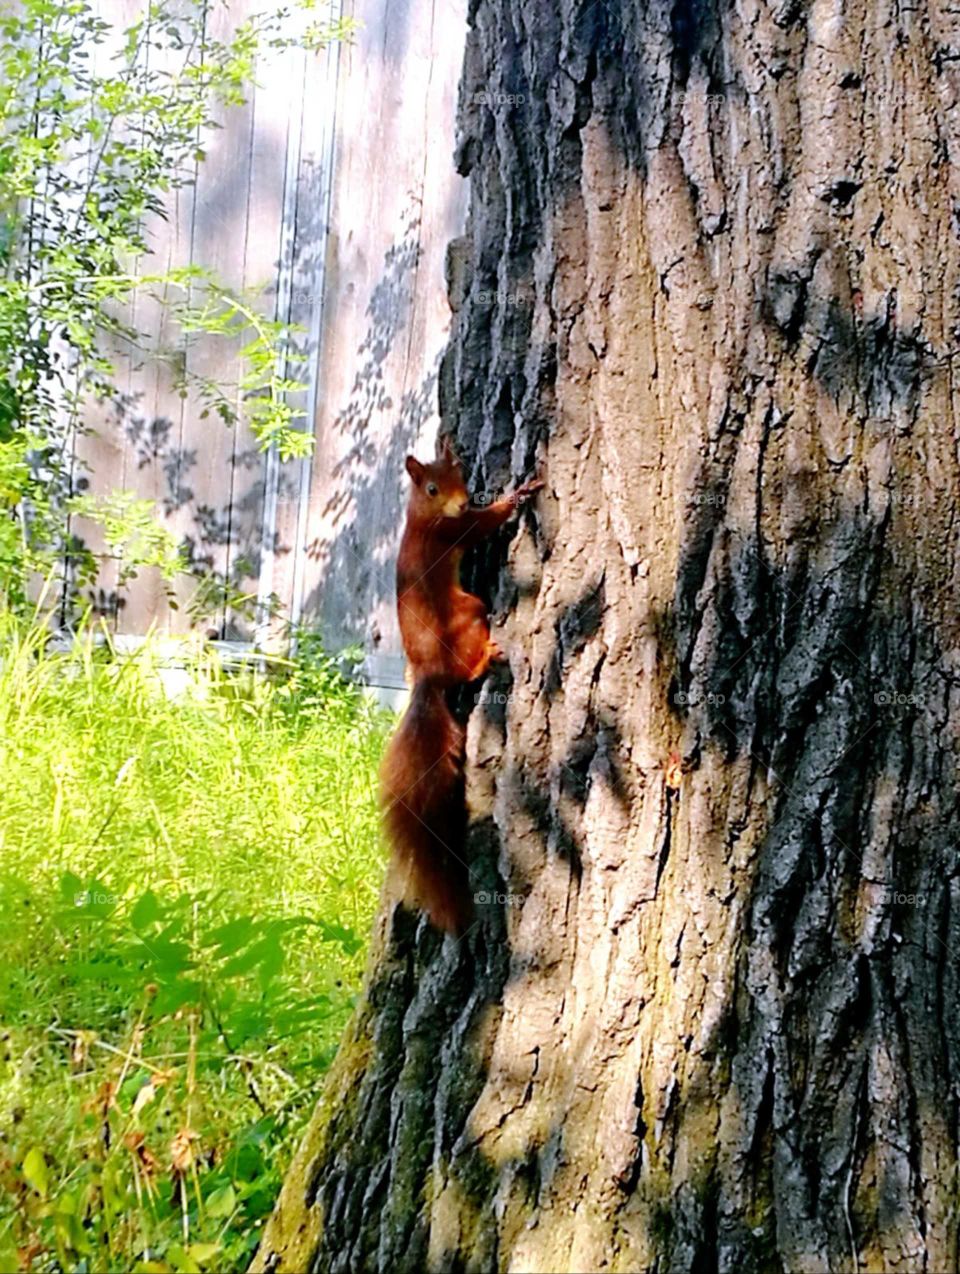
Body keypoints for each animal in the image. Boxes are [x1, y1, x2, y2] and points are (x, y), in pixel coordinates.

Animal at [379, 438, 543, 932]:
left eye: (461, 475)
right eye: (432, 487)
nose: (462, 502)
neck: (422, 515)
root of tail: (429, 677)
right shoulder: (453, 533)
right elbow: (483, 525)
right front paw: (519, 493)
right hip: (469, 611)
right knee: (470, 663)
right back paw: (488, 656)